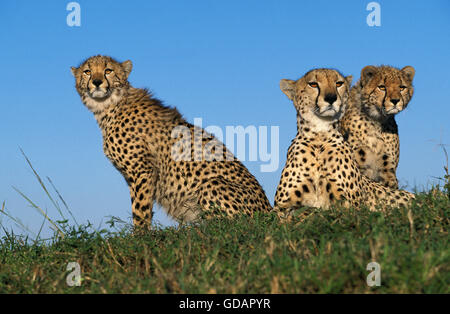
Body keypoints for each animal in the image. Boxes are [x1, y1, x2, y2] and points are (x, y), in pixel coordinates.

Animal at [71, 55, 272, 228]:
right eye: (87, 71)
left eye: (108, 70)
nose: (97, 82)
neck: (109, 106)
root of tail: (269, 212)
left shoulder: (143, 170)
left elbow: (140, 208)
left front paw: (140, 236)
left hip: (212, 184)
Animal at [272, 68, 414, 216]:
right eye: (313, 84)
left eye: (339, 83)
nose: (331, 98)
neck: (319, 135)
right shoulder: (280, 207)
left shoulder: (351, 206)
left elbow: (320, 211)